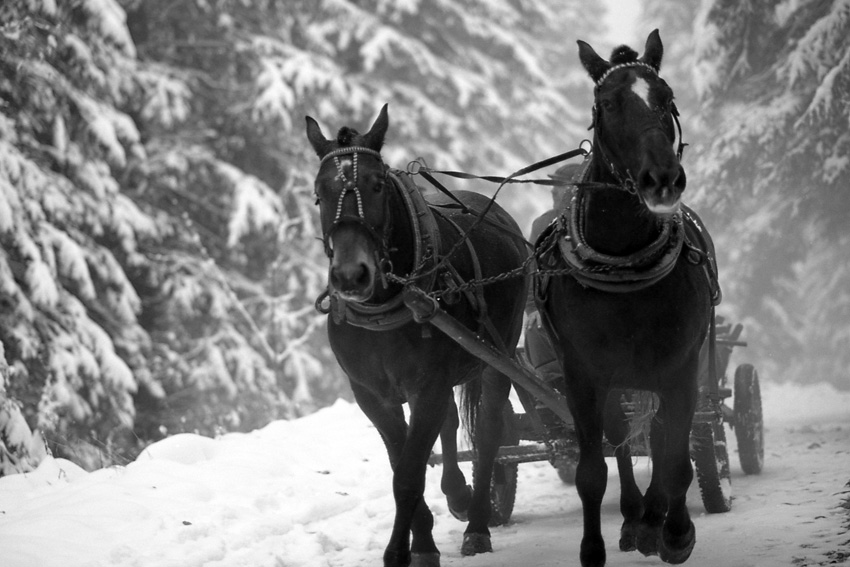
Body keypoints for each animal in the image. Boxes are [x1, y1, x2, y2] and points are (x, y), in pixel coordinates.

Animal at [304, 104, 528, 564]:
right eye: (319, 193)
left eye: (376, 185)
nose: (350, 276)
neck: (386, 305)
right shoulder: (372, 395)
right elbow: (402, 463)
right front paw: (423, 541)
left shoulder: (428, 384)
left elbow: (408, 474)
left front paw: (400, 551)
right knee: (449, 425)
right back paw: (458, 494)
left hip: (499, 353)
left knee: (488, 435)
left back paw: (477, 523)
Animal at [536, 31, 716, 567]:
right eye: (610, 103)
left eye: (667, 98)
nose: (663, 179)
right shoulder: (583, 377)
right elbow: (592, 472)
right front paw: (594, 548)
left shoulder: (681, 368)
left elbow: (675, 456)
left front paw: (675, 531)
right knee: (621, 439)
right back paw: (637, 515)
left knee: (657, 437)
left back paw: (654, 518)